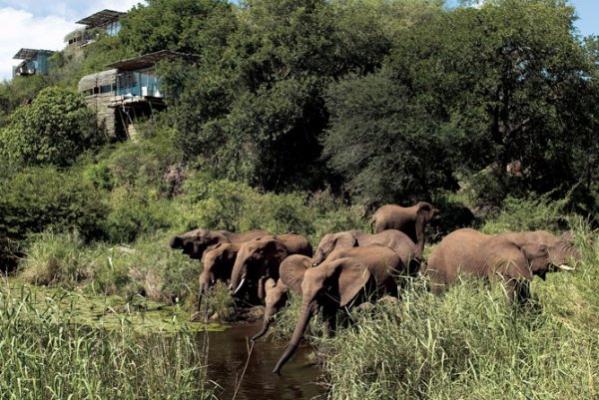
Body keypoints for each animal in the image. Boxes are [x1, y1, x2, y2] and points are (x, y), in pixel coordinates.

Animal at [274, 245, 406, 374]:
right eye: (301, 288)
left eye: (321, 291)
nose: (276, 371)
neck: (325, 265)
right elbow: (328, 317)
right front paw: (325, 352)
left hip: (396, 276)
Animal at [426, 228, 580, 304]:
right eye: (543, 249)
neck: (520, 236)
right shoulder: (497, 267)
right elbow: (506, 298)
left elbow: (525, 296)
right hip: (436, 270)